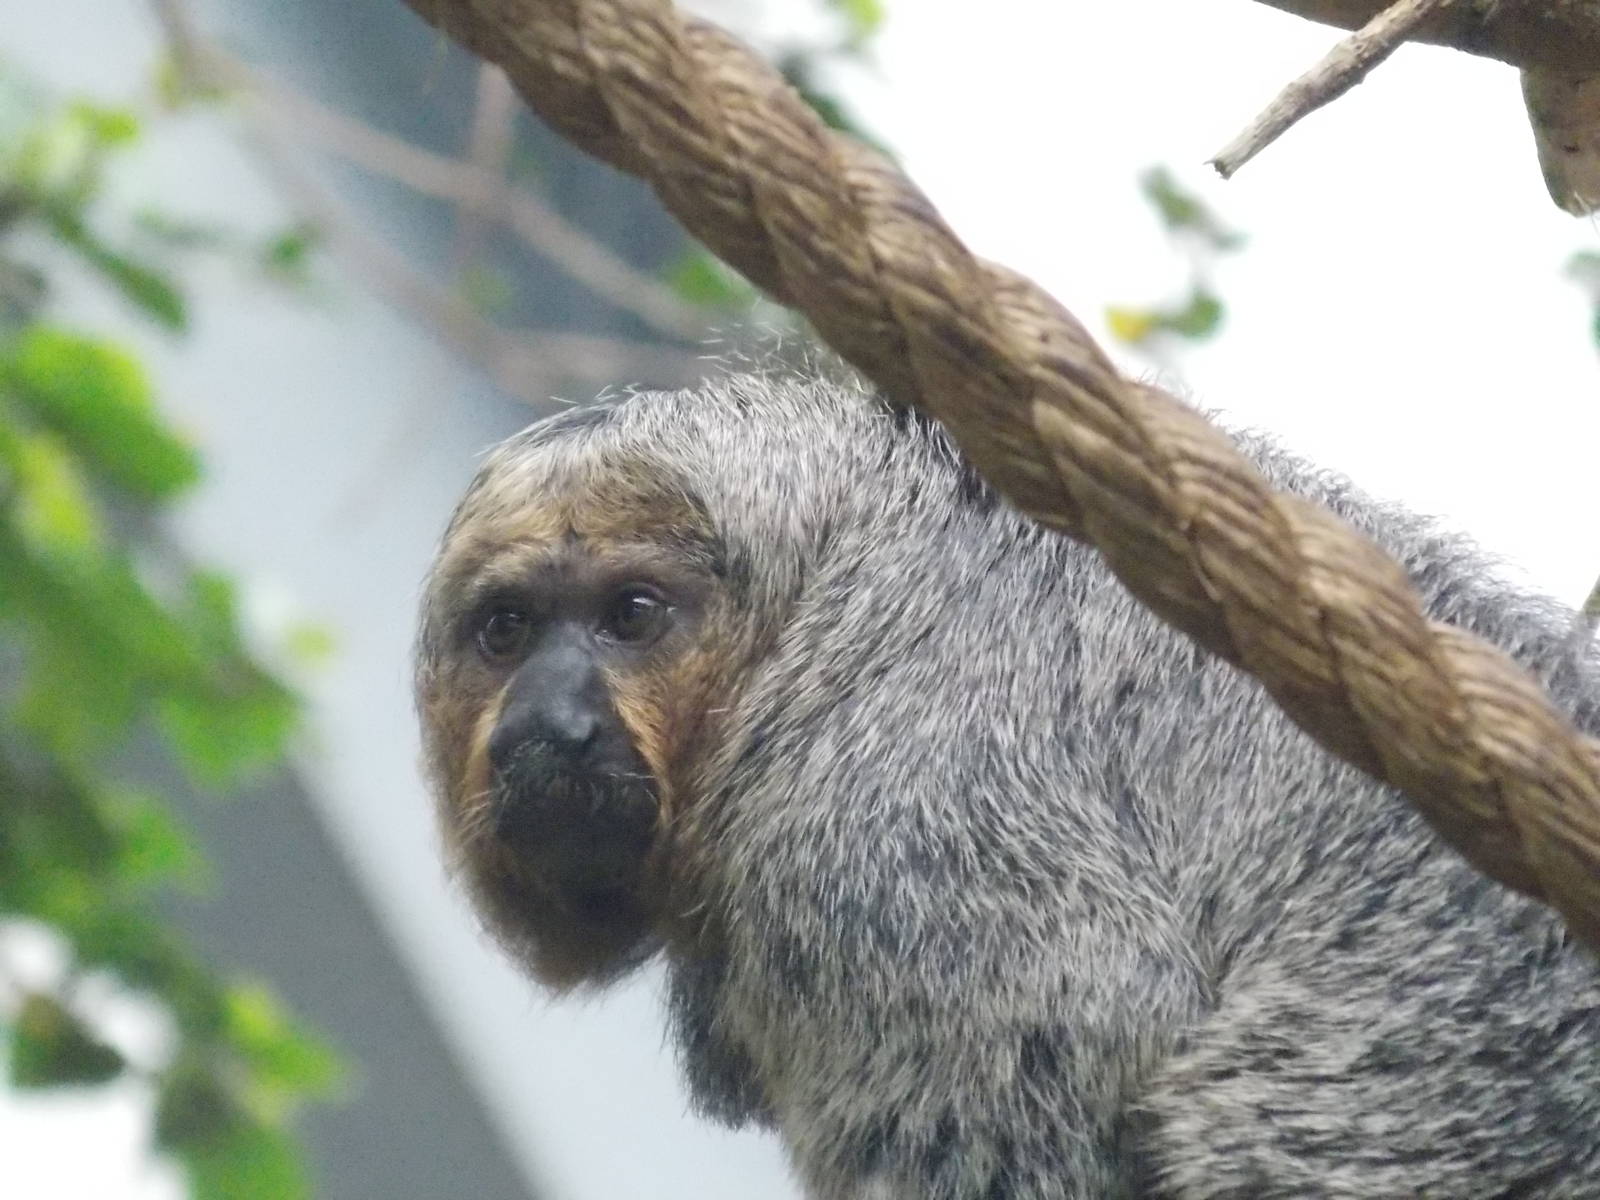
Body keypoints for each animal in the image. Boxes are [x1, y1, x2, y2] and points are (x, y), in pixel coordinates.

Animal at [414, 367, 1600, 1199]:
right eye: (507, 631)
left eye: (632, 616)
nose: (548, 723)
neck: (812, 632)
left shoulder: (883, 813)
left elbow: (1075, 1028)